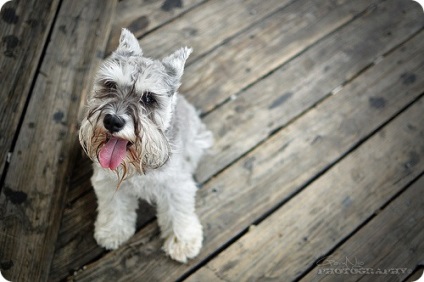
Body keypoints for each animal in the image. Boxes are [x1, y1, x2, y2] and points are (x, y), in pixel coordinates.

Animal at [78, 28, 214, 262]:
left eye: (149, 98)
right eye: (110, 85)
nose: (113, 121)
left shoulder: (175, 185)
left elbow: (178, 211)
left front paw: (183, 242)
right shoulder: (108, 181)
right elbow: (114, 207)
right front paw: (112, 231)